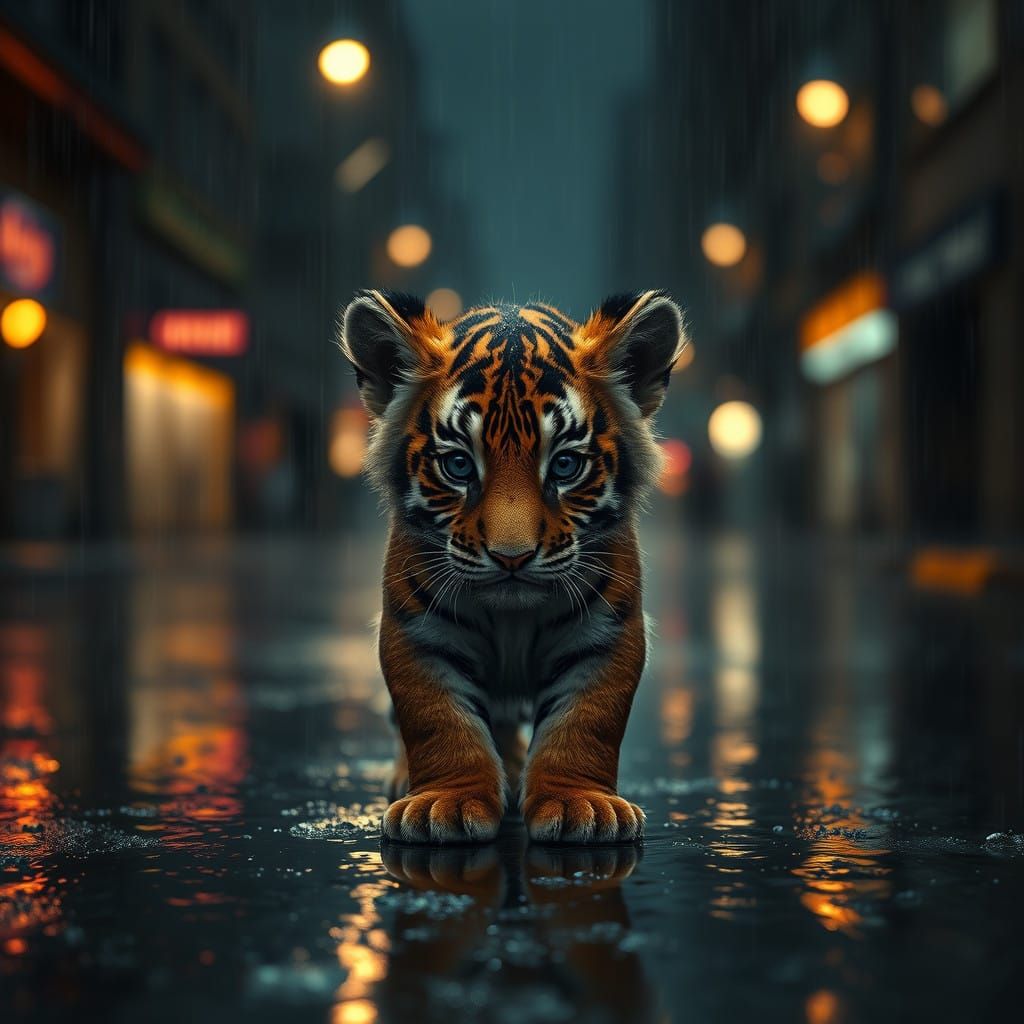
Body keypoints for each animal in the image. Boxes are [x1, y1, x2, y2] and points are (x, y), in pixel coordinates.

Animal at [340, 288, 687, 844]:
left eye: (564, 465)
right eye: (458, 465)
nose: (511, 556)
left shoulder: (607, 629)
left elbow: (587, 720)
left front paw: (580, 805)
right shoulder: (417, 629)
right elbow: (438, 720)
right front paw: (445, 803)